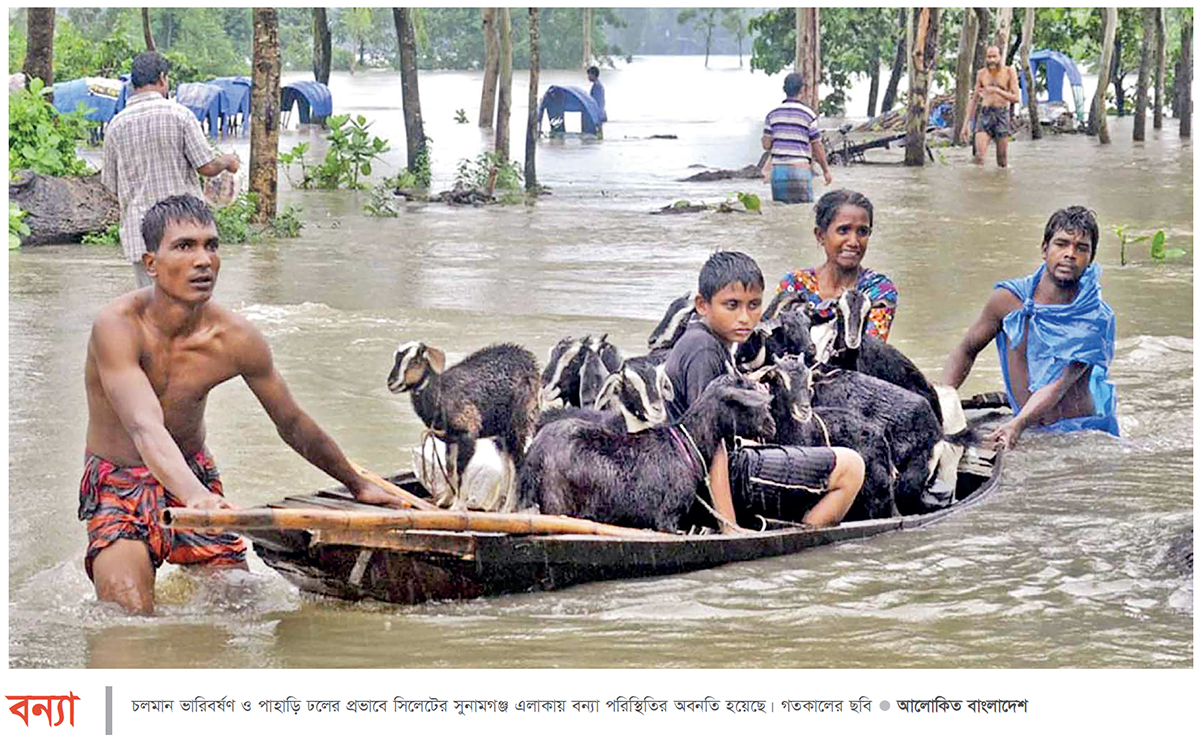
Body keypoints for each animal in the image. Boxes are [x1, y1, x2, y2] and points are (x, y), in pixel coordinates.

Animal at [388, 343, 540, 511]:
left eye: (415, 361)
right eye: (396, 358)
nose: (391, 383)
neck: (440, 396)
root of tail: (529, 358)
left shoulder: (467, 434)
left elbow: (461, 471)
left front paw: (457, 506)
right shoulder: (451, 439)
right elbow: (450, 468)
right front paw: (445, 500)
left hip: (517, 425)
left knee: (518, 465)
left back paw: (507, 508)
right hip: (500, 433)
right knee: (506, 465)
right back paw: (494, 505)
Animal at [518, 376, 777, 535]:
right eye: (753, 402)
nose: (772, 426)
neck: (688, 445)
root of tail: (535, 453)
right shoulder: (667, 517)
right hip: (558, 502)